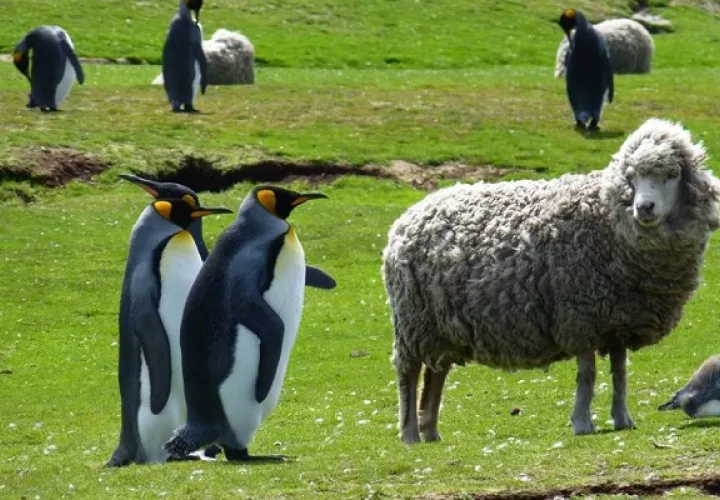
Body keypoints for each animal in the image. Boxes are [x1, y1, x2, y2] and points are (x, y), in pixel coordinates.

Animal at [381, 118, 720, 444]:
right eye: (631, 176)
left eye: (673, 174)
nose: (644, 208)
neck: (608, 222)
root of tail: (409, 216)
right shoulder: (579, 316)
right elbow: (588, 374)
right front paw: (582, 423)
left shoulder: (616, 321)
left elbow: (620, 374)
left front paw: (623, 420)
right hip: (412, 321)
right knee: (408, 374)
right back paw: (410, 434)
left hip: (439, 328)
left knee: (435, 374)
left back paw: (431, 433)